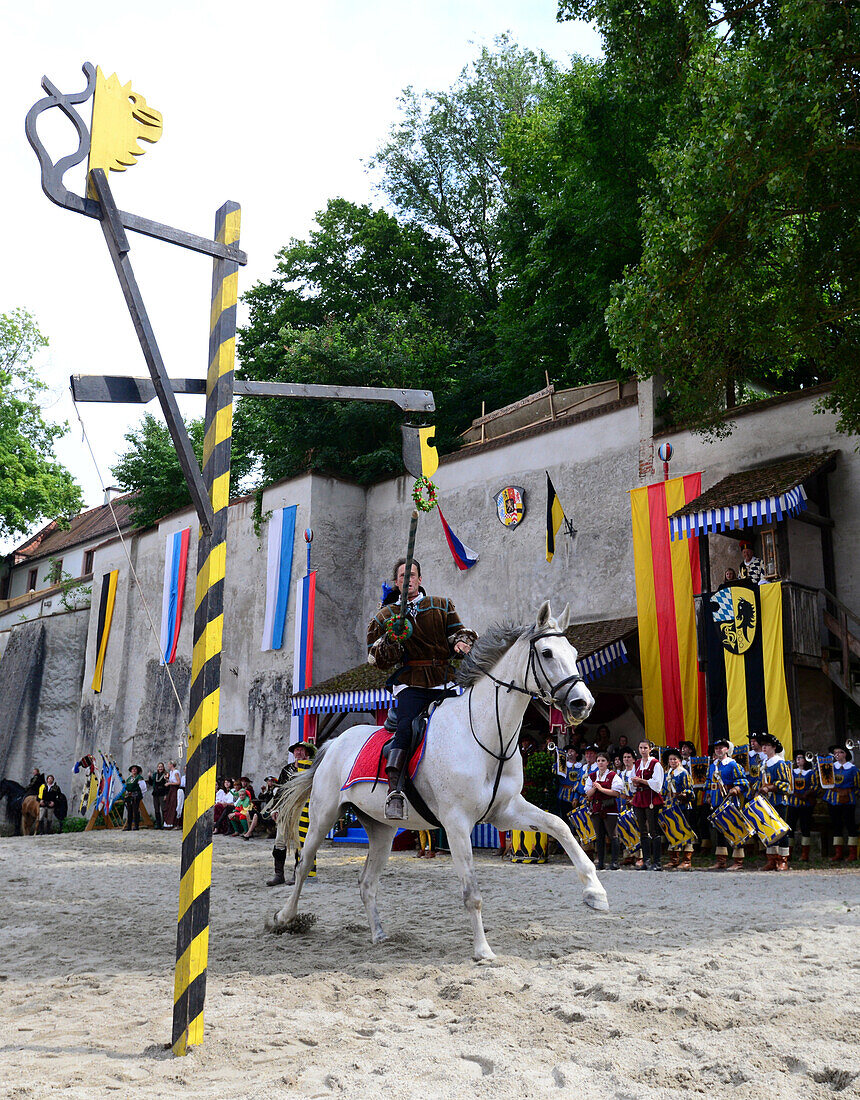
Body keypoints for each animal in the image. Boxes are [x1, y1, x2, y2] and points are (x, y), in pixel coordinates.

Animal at [266, 602, 611, 963]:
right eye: (546, 653)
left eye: (573, 653)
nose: (582, 704)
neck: (487, 736)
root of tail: (333, 743)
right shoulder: (457, 823)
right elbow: (471, 892)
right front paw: (483, 950)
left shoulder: (506, 812)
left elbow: (559, 825)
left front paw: (595, 892)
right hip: (324, 815)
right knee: (304, 865)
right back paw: (284, 919)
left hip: (381, 830)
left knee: (367, 882)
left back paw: (379, 934)